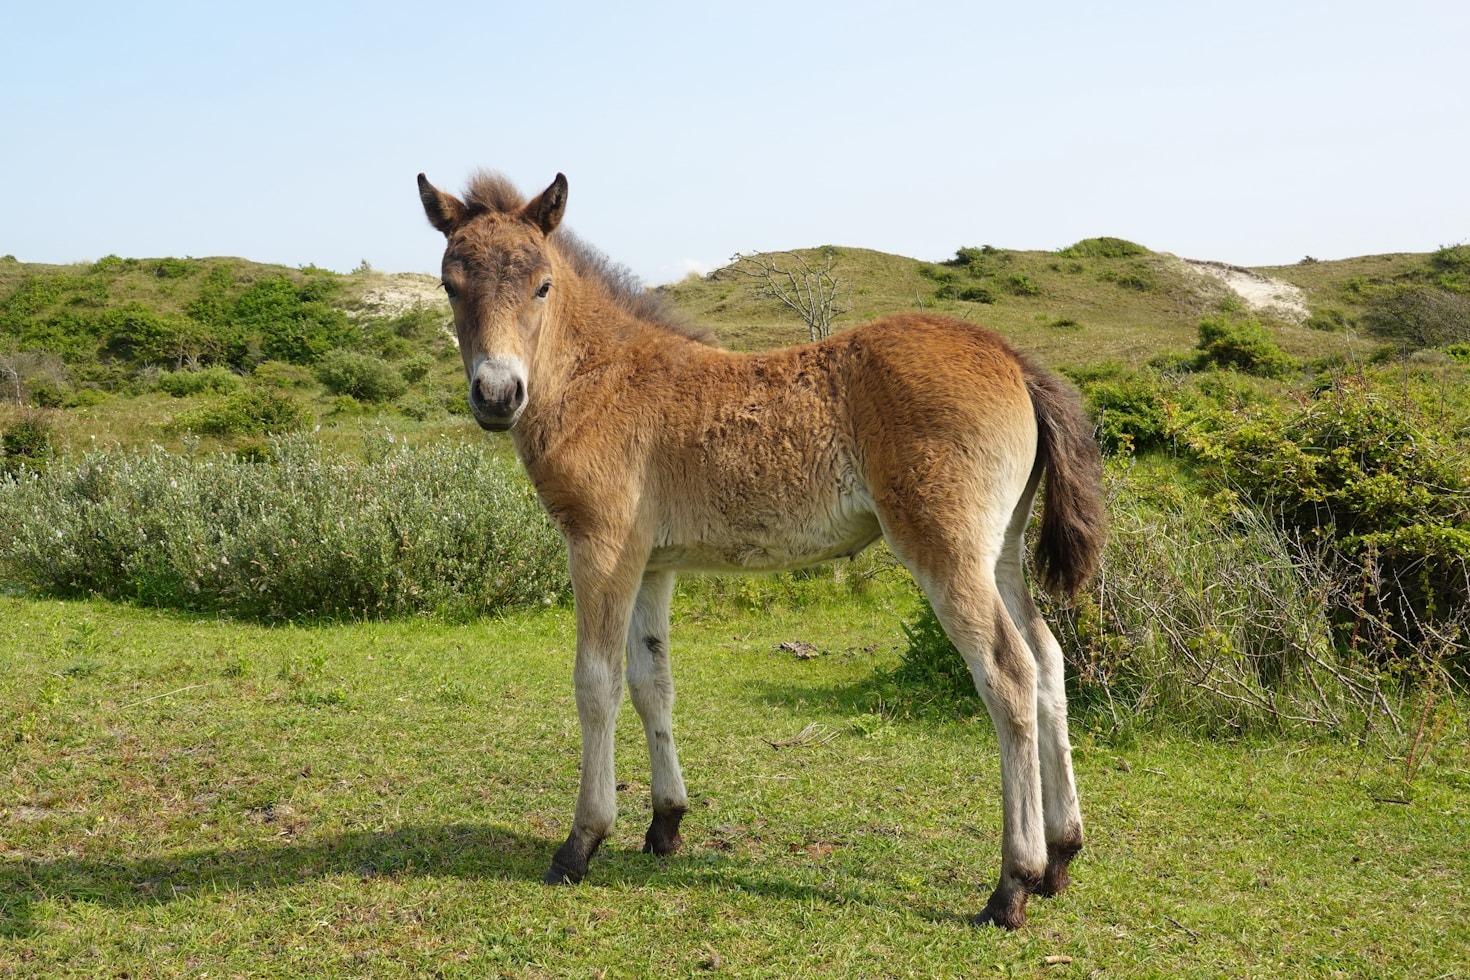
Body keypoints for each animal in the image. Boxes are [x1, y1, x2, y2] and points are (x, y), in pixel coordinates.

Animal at [416, 170, 1106, 929]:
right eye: (450, 285)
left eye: (542, 284)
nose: (496, 394)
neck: (598, 378)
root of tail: (1013, 358)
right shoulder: (652, 564)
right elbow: (652, 681)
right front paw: (666, 822)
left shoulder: (599, 546)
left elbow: (596, 683)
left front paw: (580, 843)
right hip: (1002, 550)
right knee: (1048, 660)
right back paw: (1062, 855)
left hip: (947, 550)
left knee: (1008, 673)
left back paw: (1012, 884)